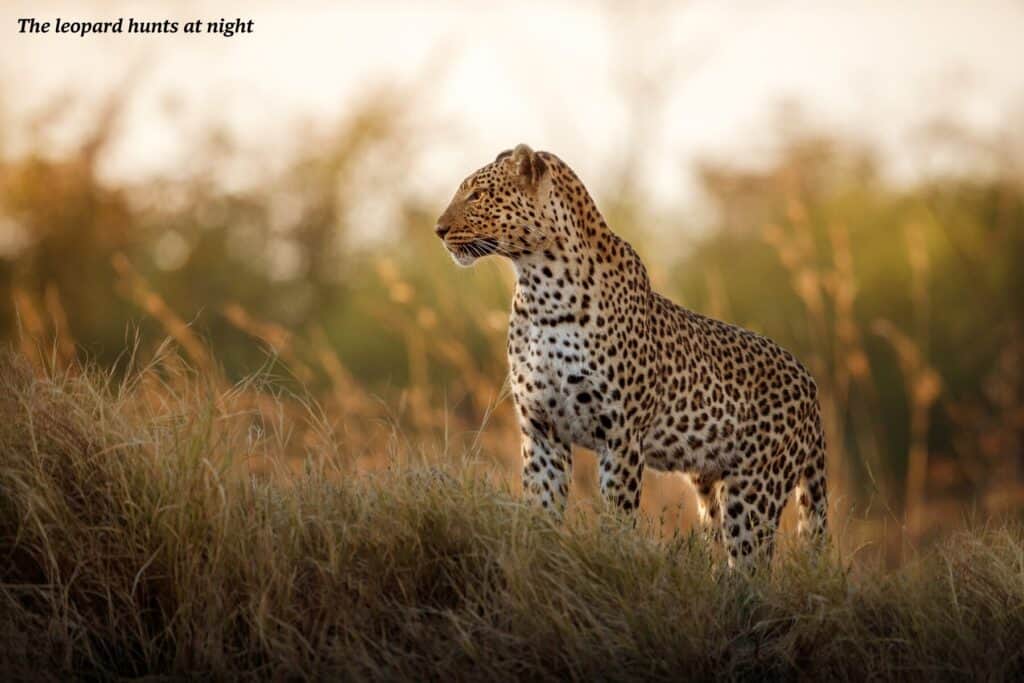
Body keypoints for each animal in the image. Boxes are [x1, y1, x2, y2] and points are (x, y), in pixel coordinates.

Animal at [430, 144, 823, 565]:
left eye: (477, 195)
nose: (439, 230)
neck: (541, 288)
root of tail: (809, 381)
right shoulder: (542, 430)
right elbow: (541, 510)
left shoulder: (620, 436)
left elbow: (616, 519)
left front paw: (609, 559)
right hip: (709, 485)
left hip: (754, 490)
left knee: (752, 563)